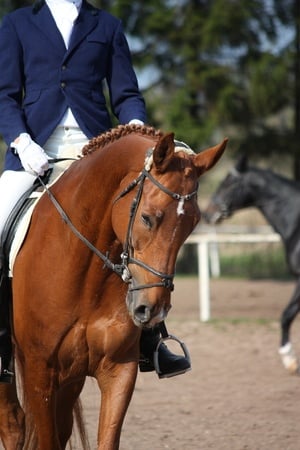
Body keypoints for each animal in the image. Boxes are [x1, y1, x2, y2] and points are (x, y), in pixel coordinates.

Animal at [0, 125, 226, 448]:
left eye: (192, 224)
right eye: (146, 218)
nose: (152, 310)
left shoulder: (119, 369)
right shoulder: (39, 371)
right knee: (13, 424)